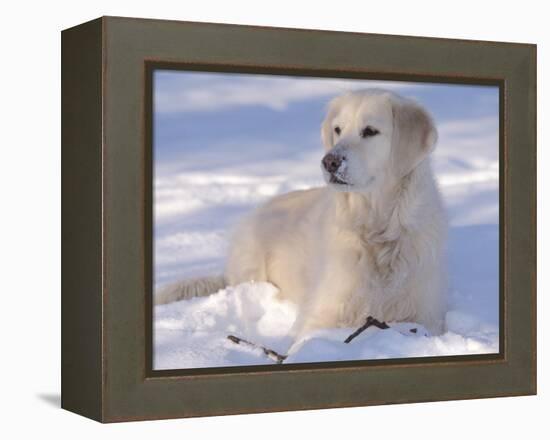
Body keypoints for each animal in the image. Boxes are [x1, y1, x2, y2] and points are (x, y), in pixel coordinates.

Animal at [157, 88, 450, 336]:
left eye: (370, 131)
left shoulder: (425, 317)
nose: (329, 161)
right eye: (338, 129)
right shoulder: (322, 314)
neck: (377, 227)